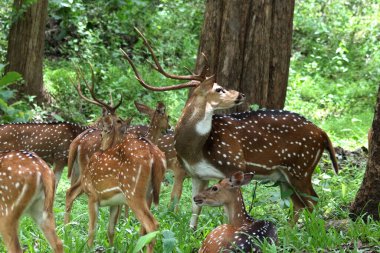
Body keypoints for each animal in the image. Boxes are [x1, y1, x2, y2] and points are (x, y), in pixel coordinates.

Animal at [121, 28, 338, 228]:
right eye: (219, 89)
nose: (241, 94)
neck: (196, 150)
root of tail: (323, 134)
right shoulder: (197, 174)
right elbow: (195, 207)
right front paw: (192, 232)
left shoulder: (234, 164)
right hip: (285, 175)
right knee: (301, 204)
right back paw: (290, 232)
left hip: (301, 167)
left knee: (313, 201)